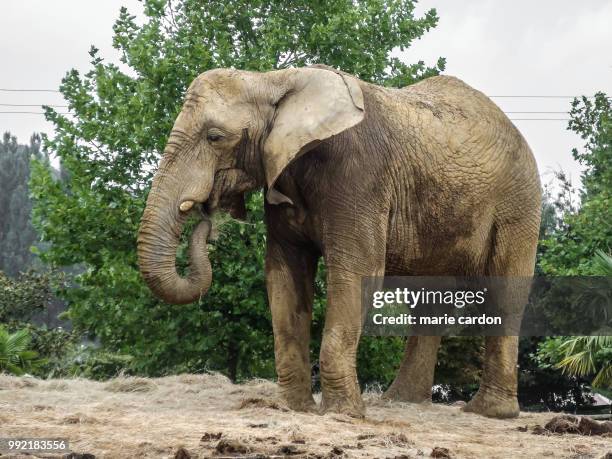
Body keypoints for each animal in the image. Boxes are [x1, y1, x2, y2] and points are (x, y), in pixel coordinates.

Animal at [137, 64, 540, 420]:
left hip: (519, 205)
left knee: (505, 295)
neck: (272, 80)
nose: (206, 215)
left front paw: (344, 414)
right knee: (429, 301)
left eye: (215, 137)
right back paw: (402, 403)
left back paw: (489, 413)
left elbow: (358, 271)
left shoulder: (359, 174)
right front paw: (295, 409)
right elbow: (285, 276)